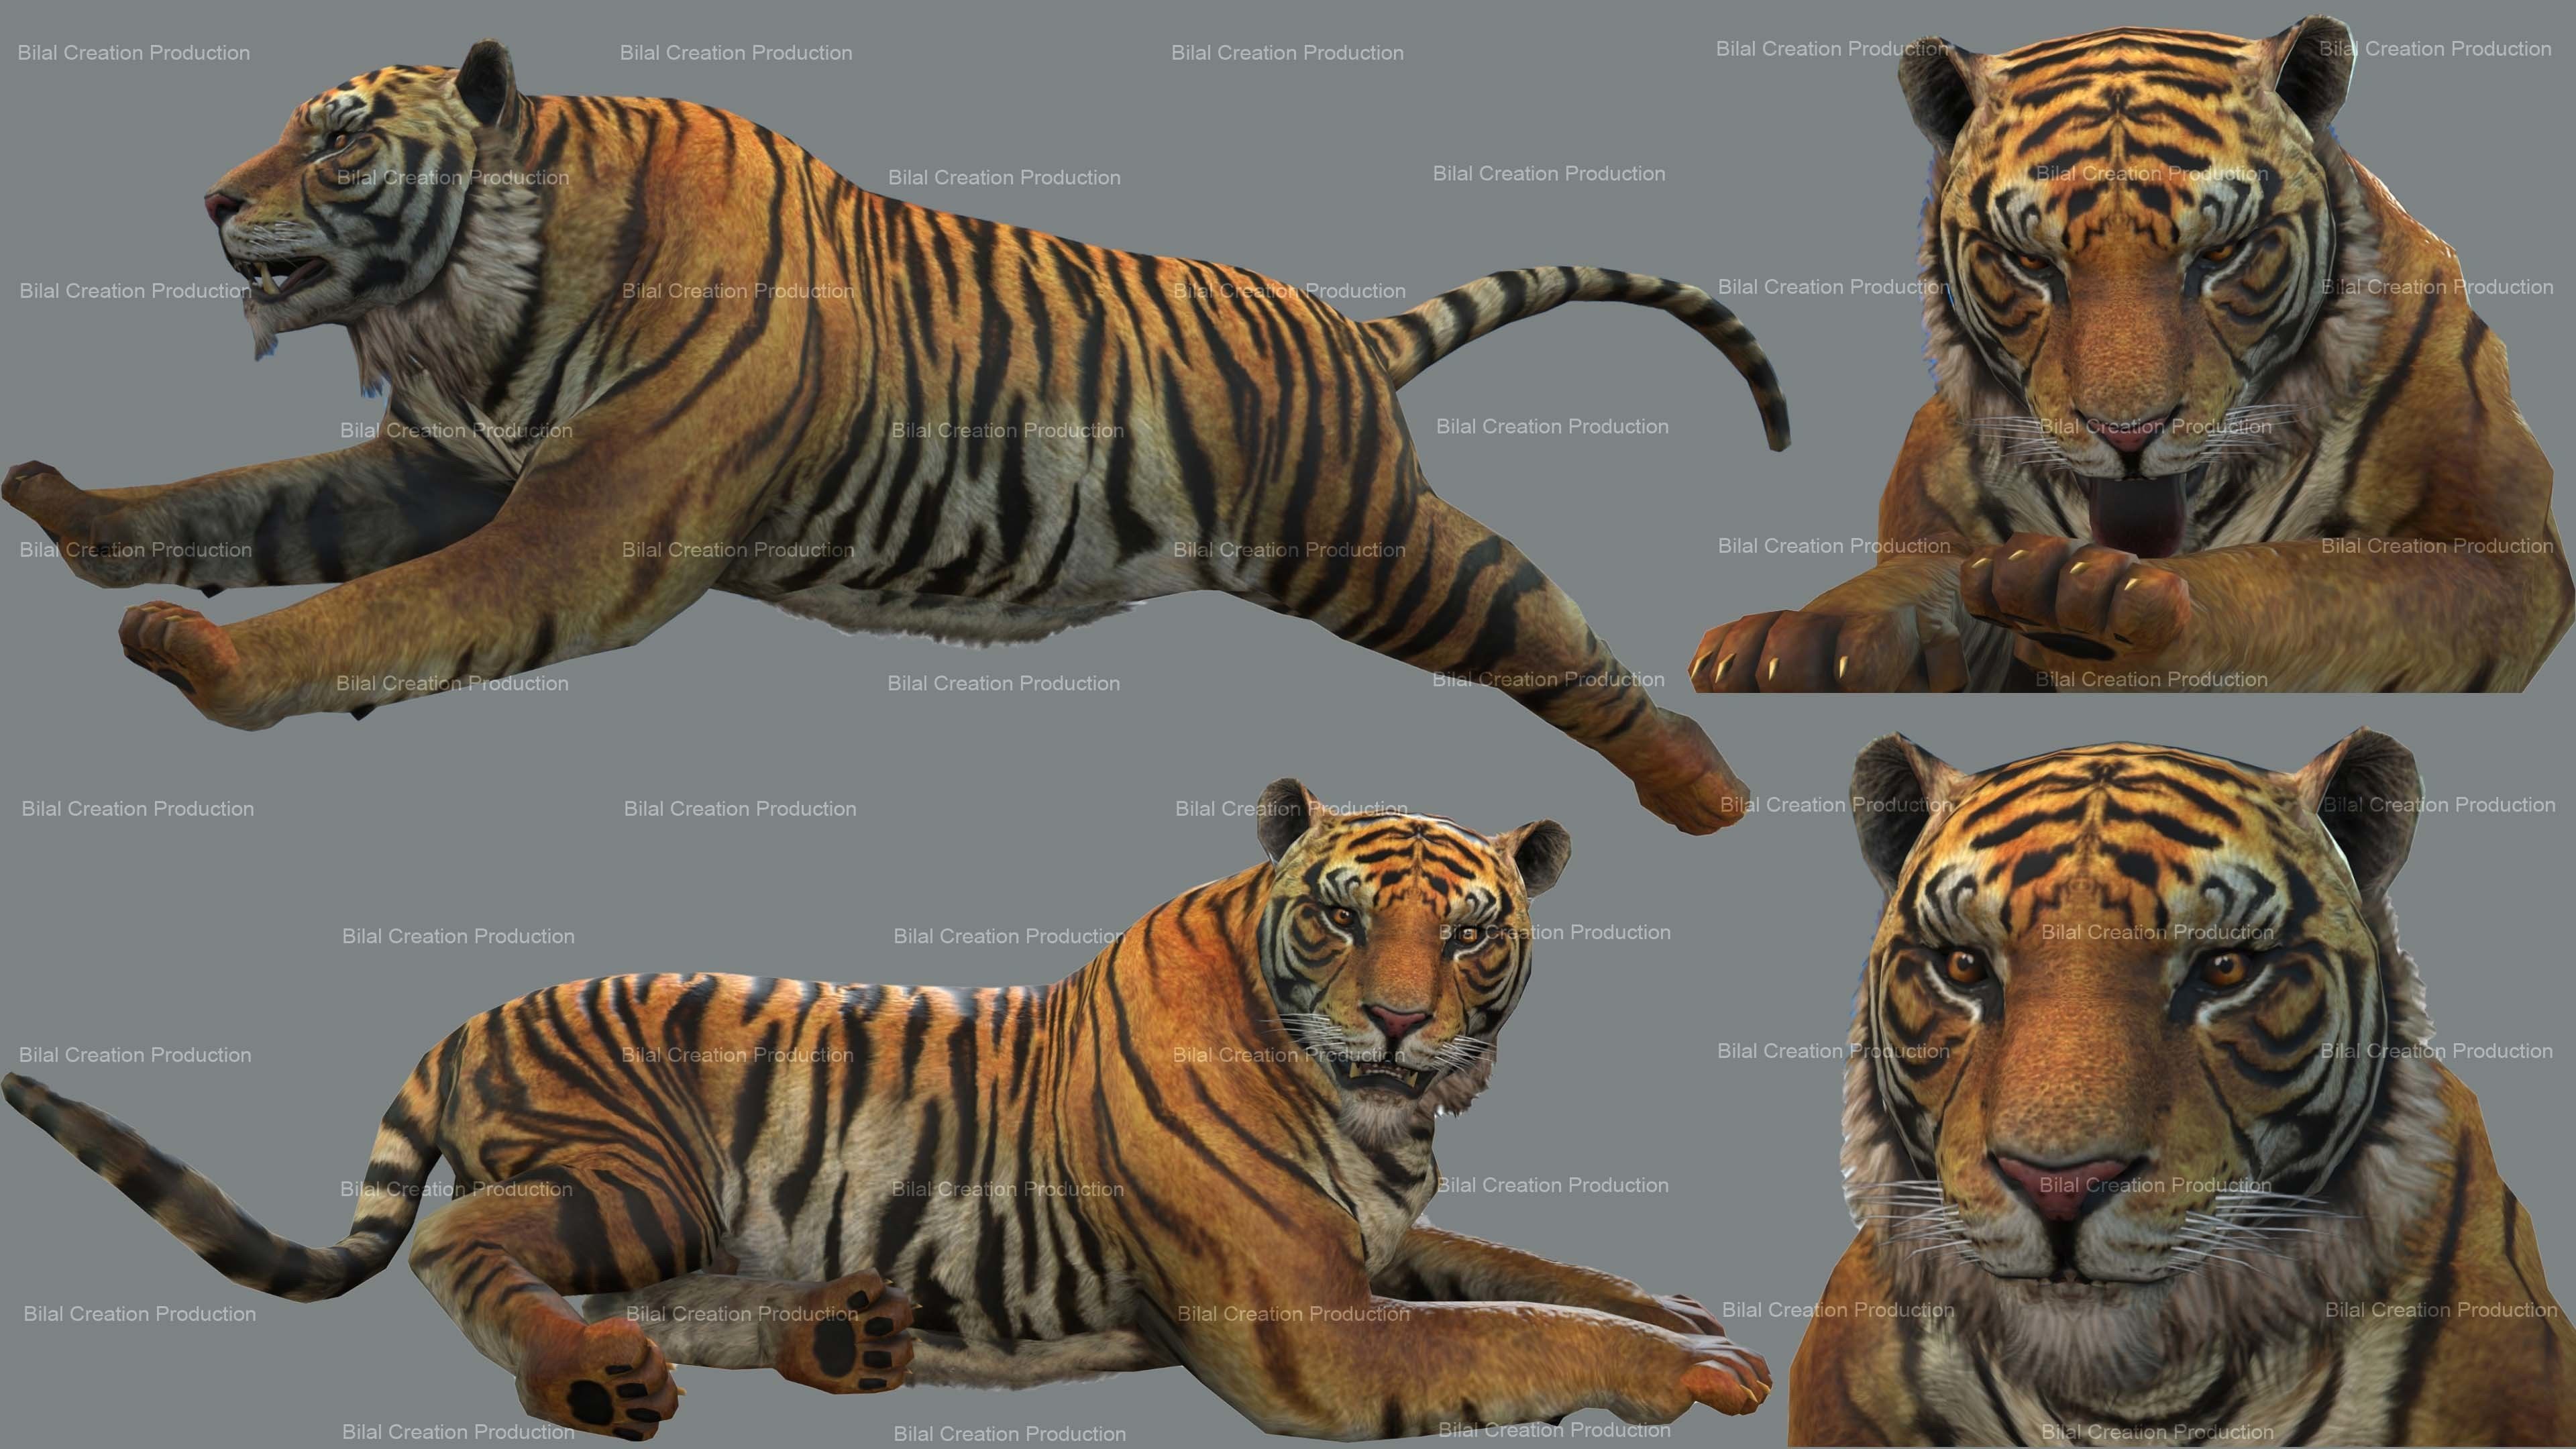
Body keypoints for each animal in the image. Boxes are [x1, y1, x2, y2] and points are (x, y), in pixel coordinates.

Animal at [0, 41, 1788, 836]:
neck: (471, 301)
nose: (207, 200)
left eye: (340, 139)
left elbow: (386, 611)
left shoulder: (587, 526)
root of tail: (1342, 329)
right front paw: (71, 507)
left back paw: (1704, 790)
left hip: (1374, 546)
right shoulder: (436, 465)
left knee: (1542, 620)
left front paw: (212, 664)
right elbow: (246, 503)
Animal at [5, 780, 1771, 1441]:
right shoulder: (1307, 1326)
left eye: (1468, 933)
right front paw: (1699, 1371)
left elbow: (1547, 1269)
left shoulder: (1379, 1247)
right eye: (1341, 917)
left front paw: (1687, 1308)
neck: (1381, 1117)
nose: (1402, 1021)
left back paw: (838, 1338)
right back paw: (590, 1378)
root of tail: (462, 1018)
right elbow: (1521, 1331)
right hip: (626, 1172)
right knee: (467, 1241)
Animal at [1692, 17, 2569, 695]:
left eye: (2222, 252)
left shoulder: (2498, 559)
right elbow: (1915, 574)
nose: (2128, 437)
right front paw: (1798, 639)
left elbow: (2300, 580)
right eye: (2031, 263)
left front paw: (2101, 608)